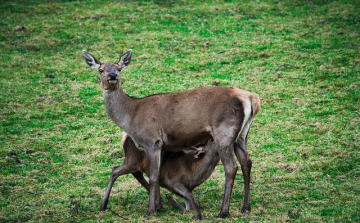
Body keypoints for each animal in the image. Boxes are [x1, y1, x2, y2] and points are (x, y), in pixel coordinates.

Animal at [82, 49, 260, 219]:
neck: (131, 117)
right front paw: (158, 206)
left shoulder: (152, 141)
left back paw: (223, 212)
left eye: (119, 68)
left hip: (224, 131)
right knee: (246, 162)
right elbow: (157, 173)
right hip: (242, 134)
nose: (112, 76)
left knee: (231, 166)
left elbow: (154, 176)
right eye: (101, 69)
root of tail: (251, 98)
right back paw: (246, 207)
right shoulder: (161, 145)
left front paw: (149, 211)